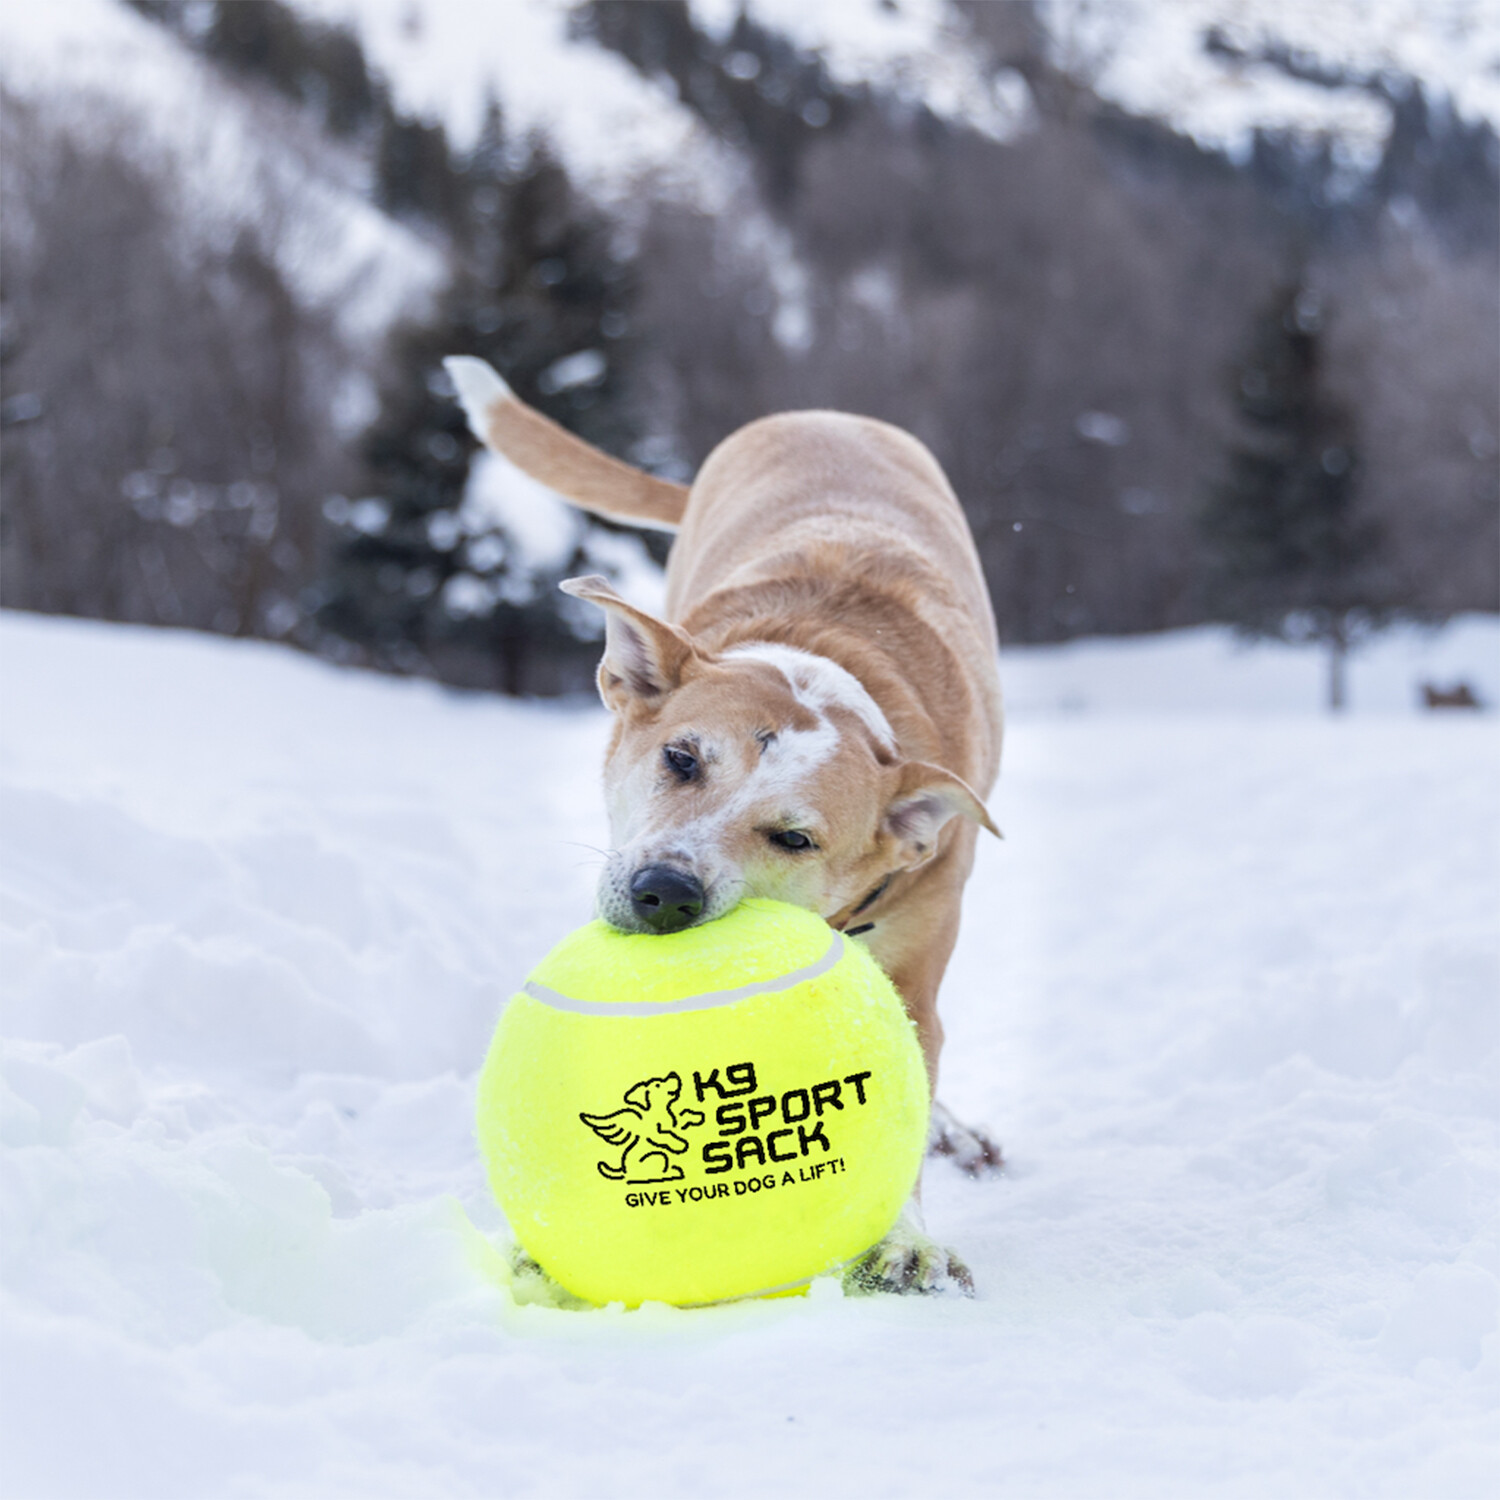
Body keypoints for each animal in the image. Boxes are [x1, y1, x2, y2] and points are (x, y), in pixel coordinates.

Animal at [444, 357, 1008, 1296]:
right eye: (681, 758)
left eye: (795, 838)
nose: (663, 892)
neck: (830, 659)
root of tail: (822, 413)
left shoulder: (919, 946)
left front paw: (903, 1241)